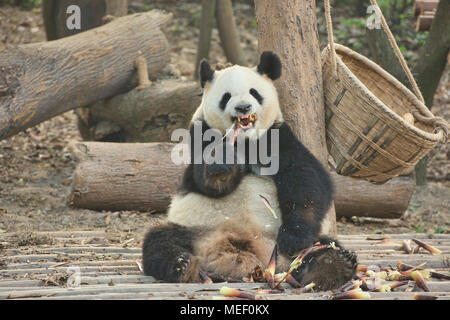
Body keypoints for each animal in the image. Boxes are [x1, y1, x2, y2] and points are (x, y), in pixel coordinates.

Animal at [142, 52, 356, 290]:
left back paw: (334, 264)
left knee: (322, 246)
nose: (243, 107)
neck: (245, 142)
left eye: (254, 93)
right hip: (193, 229)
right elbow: (206, 181)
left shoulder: (278, 137)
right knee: (159, 241)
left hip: (286, 245)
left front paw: (293, 238)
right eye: (226, 97)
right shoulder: (201, 134)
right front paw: (224, 161)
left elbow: (306, 179)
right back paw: (183, 266)